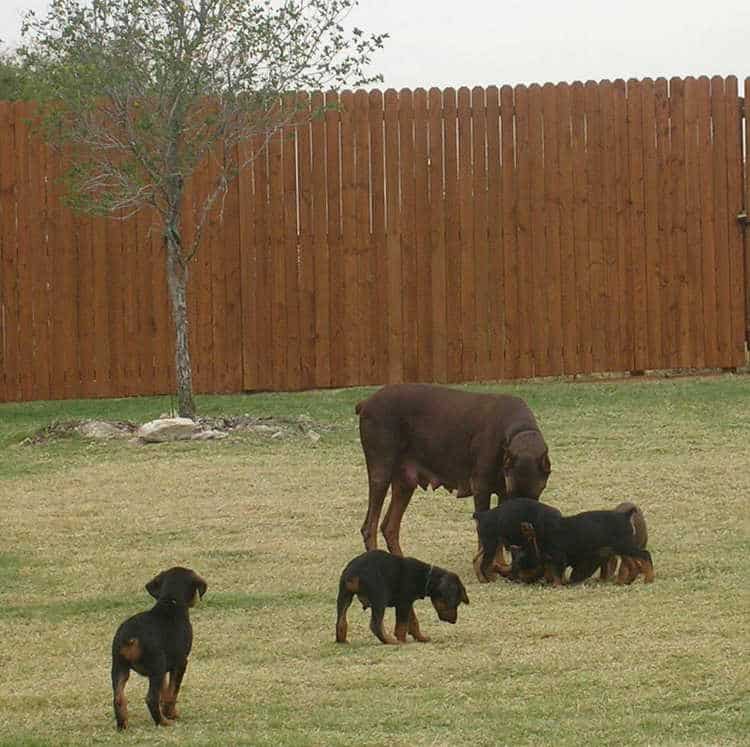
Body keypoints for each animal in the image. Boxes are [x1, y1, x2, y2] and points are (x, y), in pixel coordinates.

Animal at [110, 568, 209, 732]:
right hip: (156, 667)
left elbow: (165, 691)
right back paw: (163, 722)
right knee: (151, 698)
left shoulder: (164, 670)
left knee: (118, 698)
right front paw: (171, 714)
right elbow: (172, 692)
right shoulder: (180, 663)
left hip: (120, 667)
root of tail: (132, 637)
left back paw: (122, 725)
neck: (170, 602)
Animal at [336, 548, 470, 644]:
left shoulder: (407, 603)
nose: (454, 621)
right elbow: (402, 625)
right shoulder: (404, 603)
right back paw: (391, 641)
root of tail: (355, 572)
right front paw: (402, 641)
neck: (426, 577)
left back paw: (342, 641)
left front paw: (421, 638)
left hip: (344, 596)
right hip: (380, 598)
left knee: (340, 622)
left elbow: (413, 622)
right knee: (375, 625)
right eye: (454, 603)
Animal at [356, 386, 548, 556]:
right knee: (369, 527)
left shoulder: (502, 491)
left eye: (534, 495)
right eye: (514, 493)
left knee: (389, 527)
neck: (518, 430)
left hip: (405, 481)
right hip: (381, 473)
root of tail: (367, 402)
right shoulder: (482, 488)